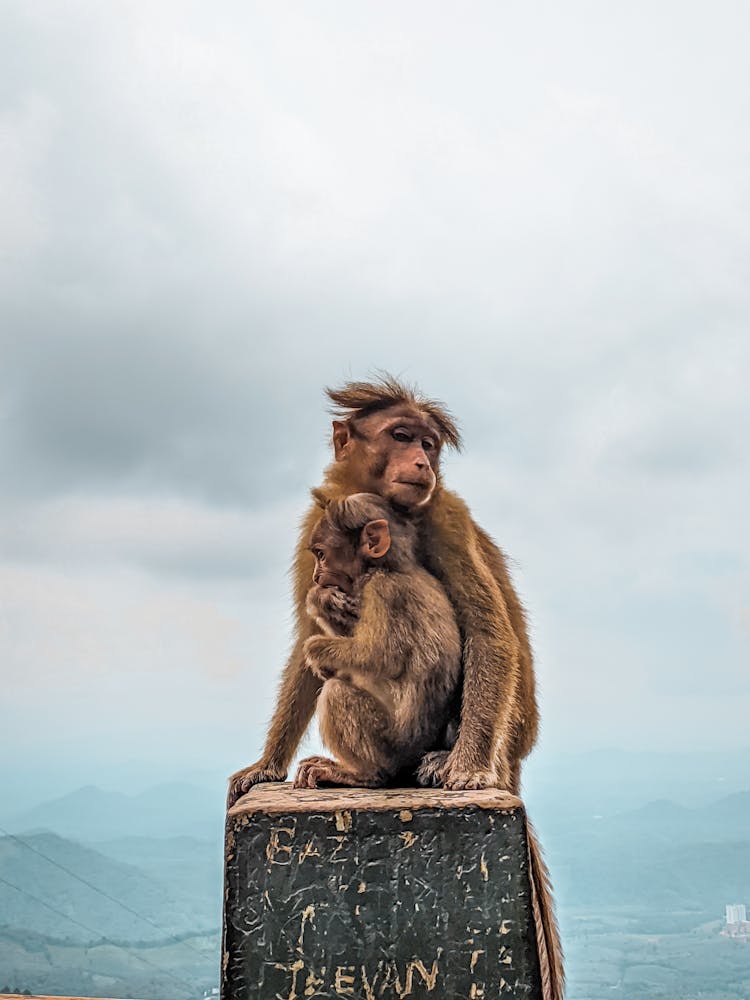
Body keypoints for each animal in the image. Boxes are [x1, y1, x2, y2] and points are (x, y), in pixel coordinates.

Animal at [296, 492, 464, 788]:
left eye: (321, 555)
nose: (316, 576)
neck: (392, 567)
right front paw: (323, 599)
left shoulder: (385, 590)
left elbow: (379, 656)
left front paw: (315, 649)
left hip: (390, 745)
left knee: (337, 692)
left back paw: (365, 773)